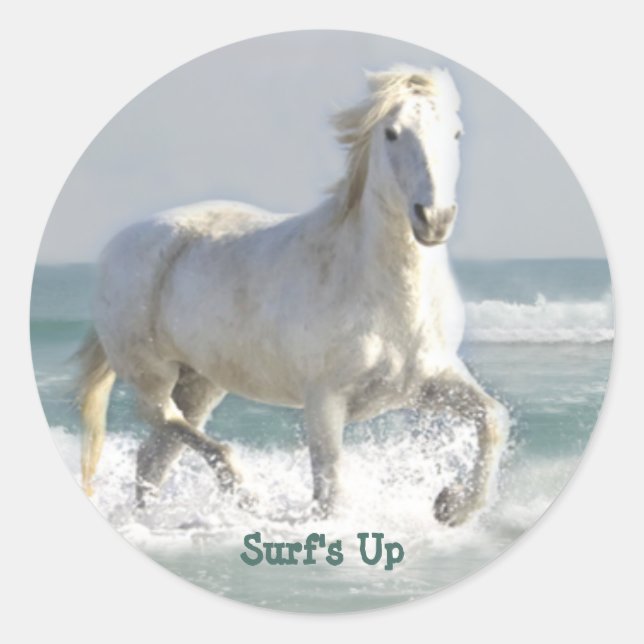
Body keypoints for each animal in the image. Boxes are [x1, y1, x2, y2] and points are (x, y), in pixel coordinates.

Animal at [76, 65, 509, 527]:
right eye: (392, 133)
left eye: (457, 133)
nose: (434, 219)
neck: (390, 302)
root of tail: (119, 242)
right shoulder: (324, 401)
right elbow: (330, 490)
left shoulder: (427, 384)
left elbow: (493, 417)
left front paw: (451, 506)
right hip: (152, 373)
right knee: (165, 422)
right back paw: (244, 492)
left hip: (201, 383)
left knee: (154, 455)